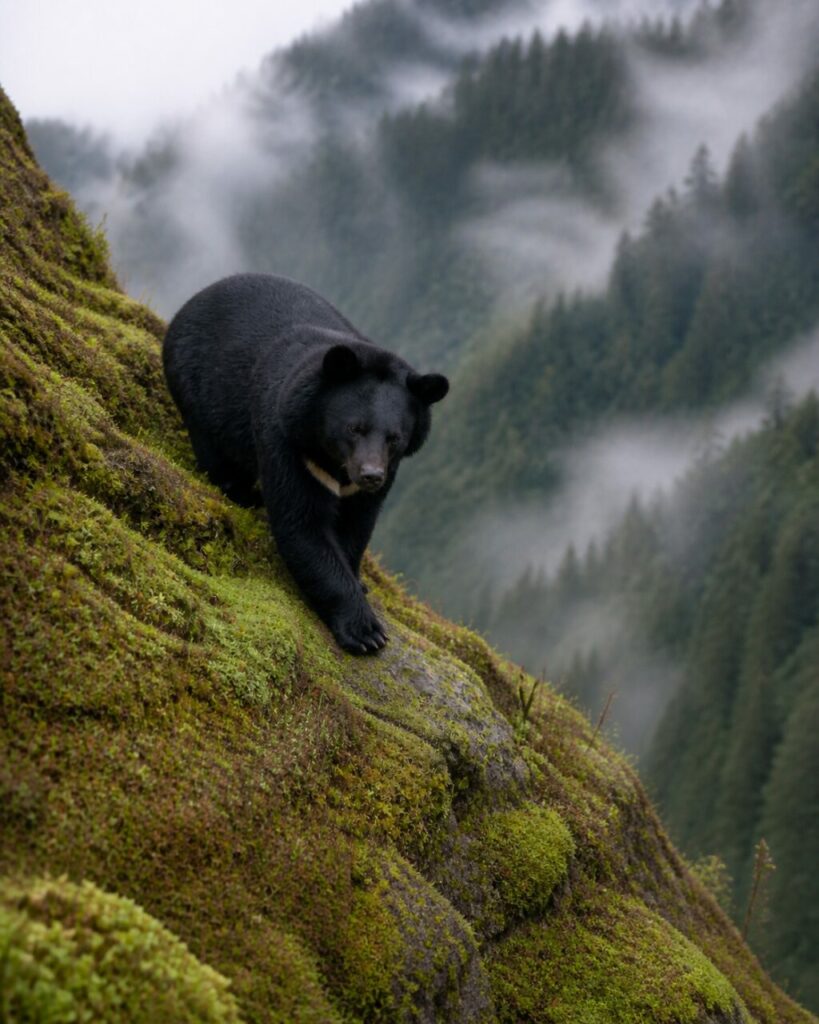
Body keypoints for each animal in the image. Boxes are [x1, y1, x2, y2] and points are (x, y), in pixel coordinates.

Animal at [162, 273, 449, 654]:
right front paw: (366, 632)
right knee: (217, 455)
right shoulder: (287, 440)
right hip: (198, 389)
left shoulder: (390, 471)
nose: (370, 475)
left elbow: (357, 526)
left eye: (394, 438)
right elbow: (302, 524)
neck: (334, 461)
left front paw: (359, 582)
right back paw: (244, 494)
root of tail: (196, 297)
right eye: (354, 428)